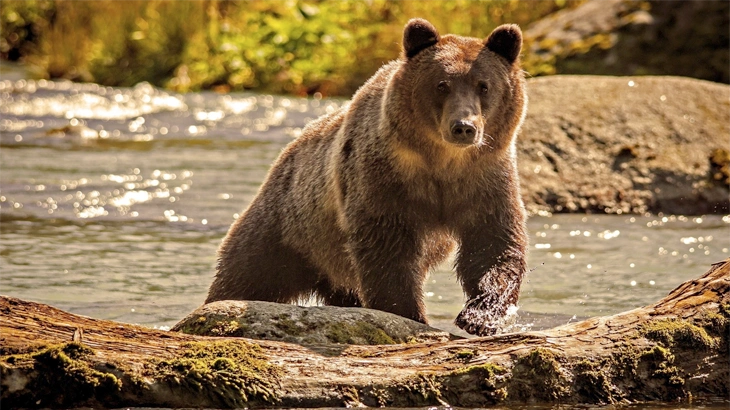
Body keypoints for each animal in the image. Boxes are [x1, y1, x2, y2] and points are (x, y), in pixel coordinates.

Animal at [206, 18, 529, 336]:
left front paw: (480, 315)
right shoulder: (383, 180)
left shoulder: (485, 179)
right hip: (288, 227)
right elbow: (386, 250)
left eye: (483, 86)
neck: (442, 162)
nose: (463, 126)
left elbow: (493, 244)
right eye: (442, 84)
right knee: (247, 273)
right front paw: (410, 313)